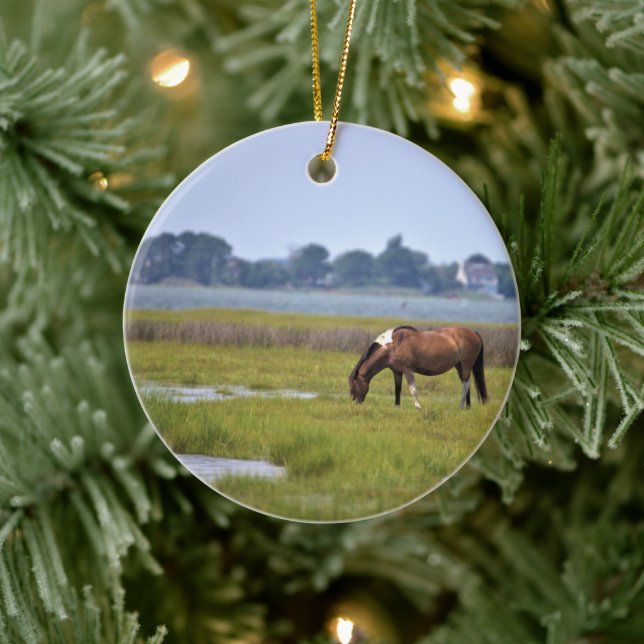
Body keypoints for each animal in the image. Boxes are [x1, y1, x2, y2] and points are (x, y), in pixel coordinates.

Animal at [348, 325, 488, 410]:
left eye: (353, 386)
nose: (354, 403)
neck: (393, 346)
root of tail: (474, 332)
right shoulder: (397, 372)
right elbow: (397, 389)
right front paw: (397, 407)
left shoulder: (408, 370)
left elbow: (412, 389)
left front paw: (418, 407)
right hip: (459, 367)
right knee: (466, 384)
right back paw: (467, 407)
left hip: (466, 365)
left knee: (466, 385)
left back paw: (460, 406)